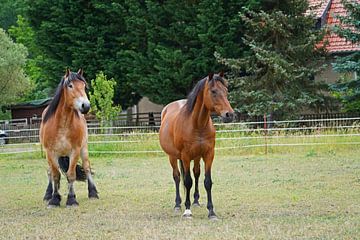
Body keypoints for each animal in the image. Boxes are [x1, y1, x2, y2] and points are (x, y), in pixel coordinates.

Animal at [40, 68, 98, 207]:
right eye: (70, 85)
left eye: (84, 86)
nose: (85, 106)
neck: (62, 124)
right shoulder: (50, 153)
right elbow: (55, 175)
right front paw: (54, 199)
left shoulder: (75, 151)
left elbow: (71, 175)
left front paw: (71, 199)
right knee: (50, 171)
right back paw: (48, 194)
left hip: (84, 149)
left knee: (87, 168)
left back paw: (93, 192)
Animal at [160, 71, 233, 219]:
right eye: (213, 91)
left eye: (226, 91)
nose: (229, 114)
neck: (197, 125)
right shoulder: (186, 156)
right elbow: (187, 181)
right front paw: (187, 211)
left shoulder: (209, 154)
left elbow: (207, 181)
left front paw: (211, 212)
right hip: (173, 157)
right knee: (177, 177)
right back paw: (178, 204)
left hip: (197, 157)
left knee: (196, 173)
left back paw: (195, 201)